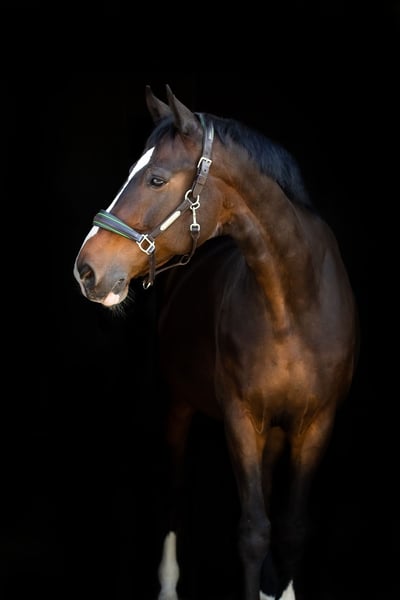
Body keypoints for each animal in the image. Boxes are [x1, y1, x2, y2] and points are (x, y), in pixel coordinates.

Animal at [73, 85, 359, 600]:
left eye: (156, 179)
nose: (86, 270)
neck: (294, 305)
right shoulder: (241, 421)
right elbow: (253, 531)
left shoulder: (316, 424)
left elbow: (291, 529)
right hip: (179, 406)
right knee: (174, 492)